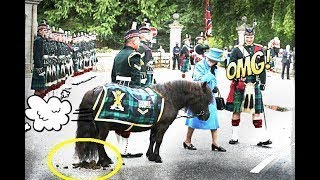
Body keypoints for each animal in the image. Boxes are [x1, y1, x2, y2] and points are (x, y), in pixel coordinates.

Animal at [75, 80, 214, 167]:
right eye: (205, 99)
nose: (207, 116)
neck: (169, 97)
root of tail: (94, 91)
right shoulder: (163, 126)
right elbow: (159, 140)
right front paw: (157, 157)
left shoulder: (155, 126)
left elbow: (152, 139)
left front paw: (150, 155)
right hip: (104, 127)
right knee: (99, 141)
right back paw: (103, 161)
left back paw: (105, 160)